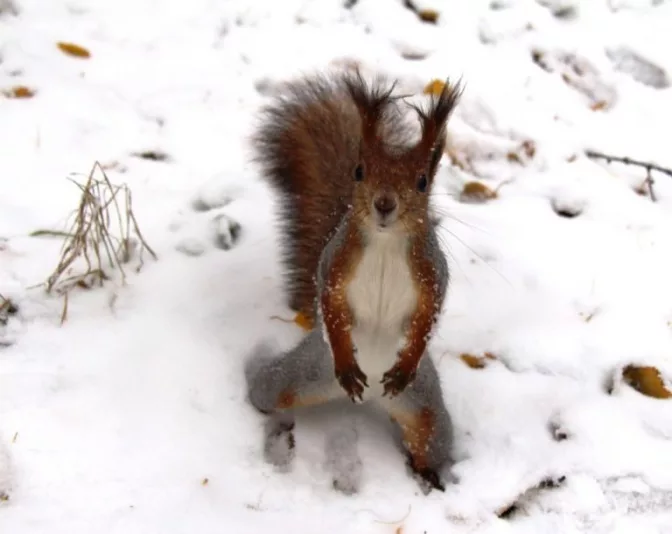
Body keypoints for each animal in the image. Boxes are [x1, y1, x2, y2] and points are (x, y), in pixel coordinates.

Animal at [245, 68, 462, 492]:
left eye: (422, 181)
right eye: (360, 171)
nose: (384, 204)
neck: (384, 241)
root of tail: (369, 399)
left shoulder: (432, 270)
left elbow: (430, 313)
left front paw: (405, 363)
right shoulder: (335, 263)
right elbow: (329, 302)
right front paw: (346, 362)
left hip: (426, 408)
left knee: (430, 440)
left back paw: (428, 474)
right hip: (303, 373)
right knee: (268, 386)